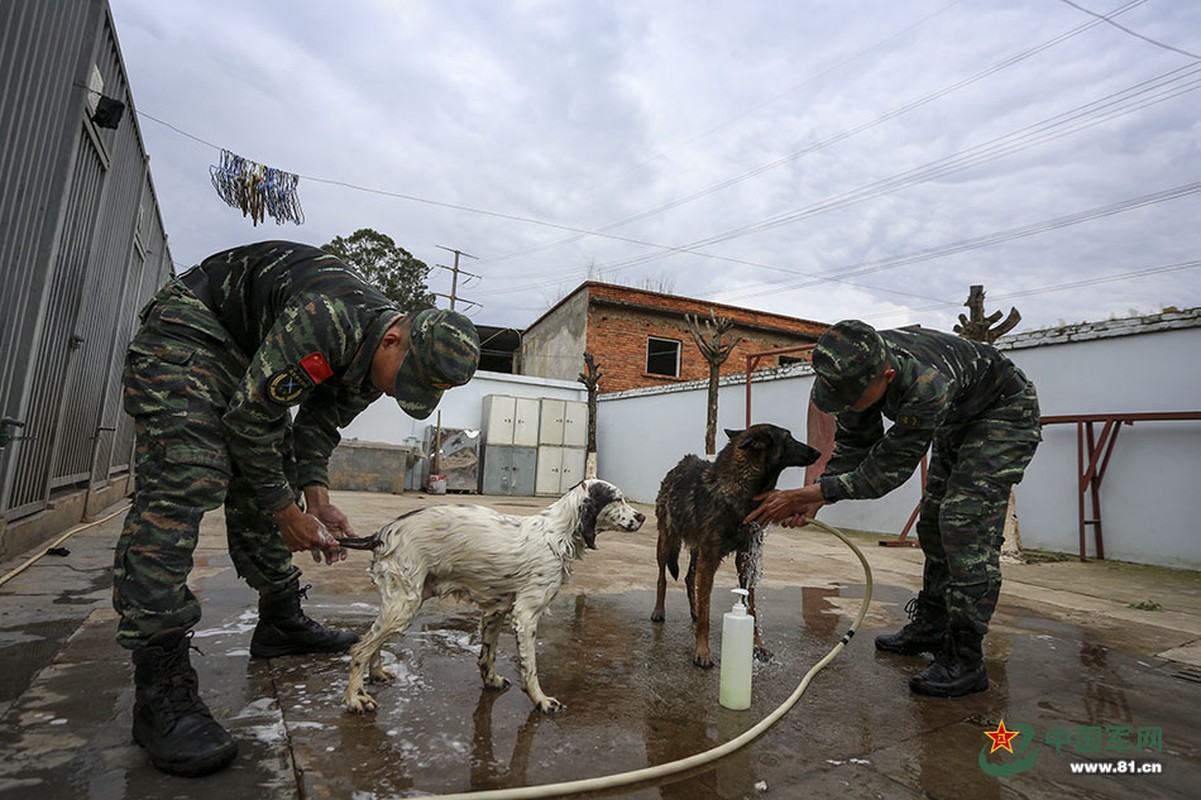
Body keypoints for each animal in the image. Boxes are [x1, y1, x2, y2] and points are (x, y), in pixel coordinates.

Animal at [336, 475, 648, 711]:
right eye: (617, 499)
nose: (643, 516)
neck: (557, 534)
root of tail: (382, 533)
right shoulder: (526, 614)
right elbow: (530, 667)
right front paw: (541, 700)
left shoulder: (495, 611)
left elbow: (488, 655)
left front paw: (492, 681)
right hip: (404, 605)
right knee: (360, 648)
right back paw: (354, 698)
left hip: (402, 601)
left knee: (373, 640)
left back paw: (376, 674)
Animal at [653, 422, 821, 667]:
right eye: (788, 438)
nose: (818, 453)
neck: (741, 489)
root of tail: (679, 465)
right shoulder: (710, 558)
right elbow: (707, 611)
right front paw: (702, 651)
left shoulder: (745, 559)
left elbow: (750, 604)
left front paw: (758, 646)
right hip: (667, 542)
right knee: (662, 577)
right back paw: (659, 610)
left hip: (697, 551)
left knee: (689, 579)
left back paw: (693, 610)